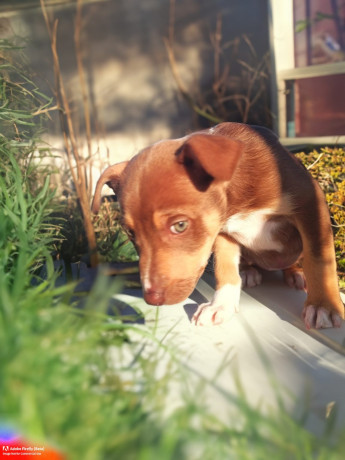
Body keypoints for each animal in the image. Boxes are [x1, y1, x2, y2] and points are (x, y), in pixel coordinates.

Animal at [92, 122, 344, 328]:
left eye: (180, 225)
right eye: (130, 232)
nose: (151, 299)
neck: (238, 206)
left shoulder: (311, 205)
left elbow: (319, 259)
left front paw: (323, 305)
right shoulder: (222, 233)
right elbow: (225, 268)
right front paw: (220, 305)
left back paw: (296, 273)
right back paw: (248, 271)